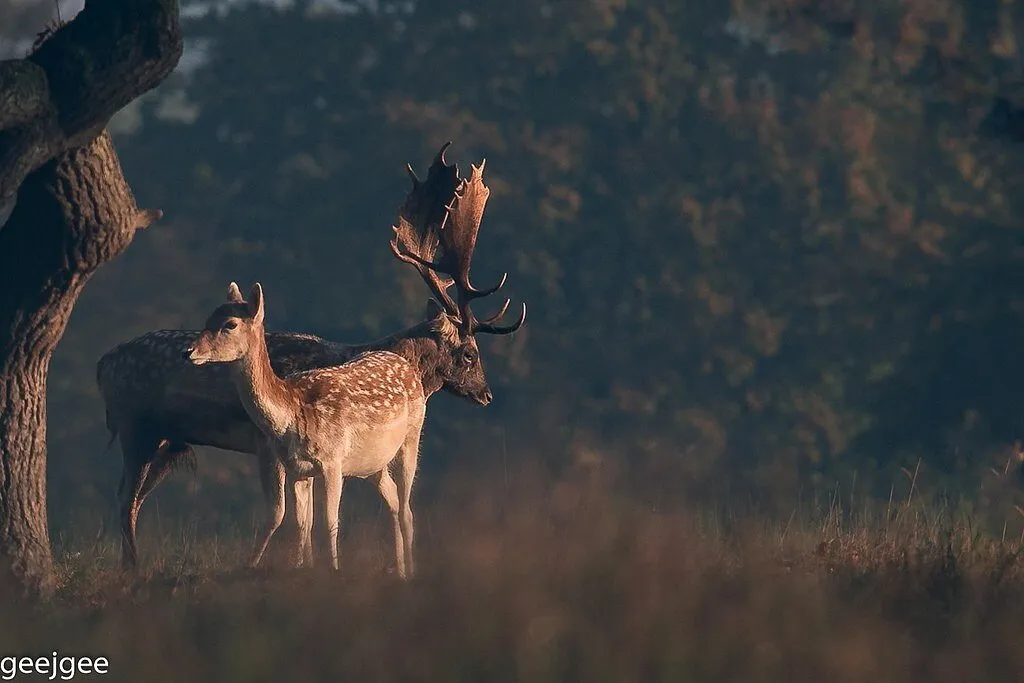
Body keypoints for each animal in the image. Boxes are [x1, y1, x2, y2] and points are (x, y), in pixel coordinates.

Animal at [96, 144, 526, 571]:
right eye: (469, 353)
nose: (486, 394)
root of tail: (102, 366)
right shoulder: (267, 444)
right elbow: (282, 513)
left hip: (166, 439)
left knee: (132, 497)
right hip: (136, 426)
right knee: (124, 498)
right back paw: (132, 567)